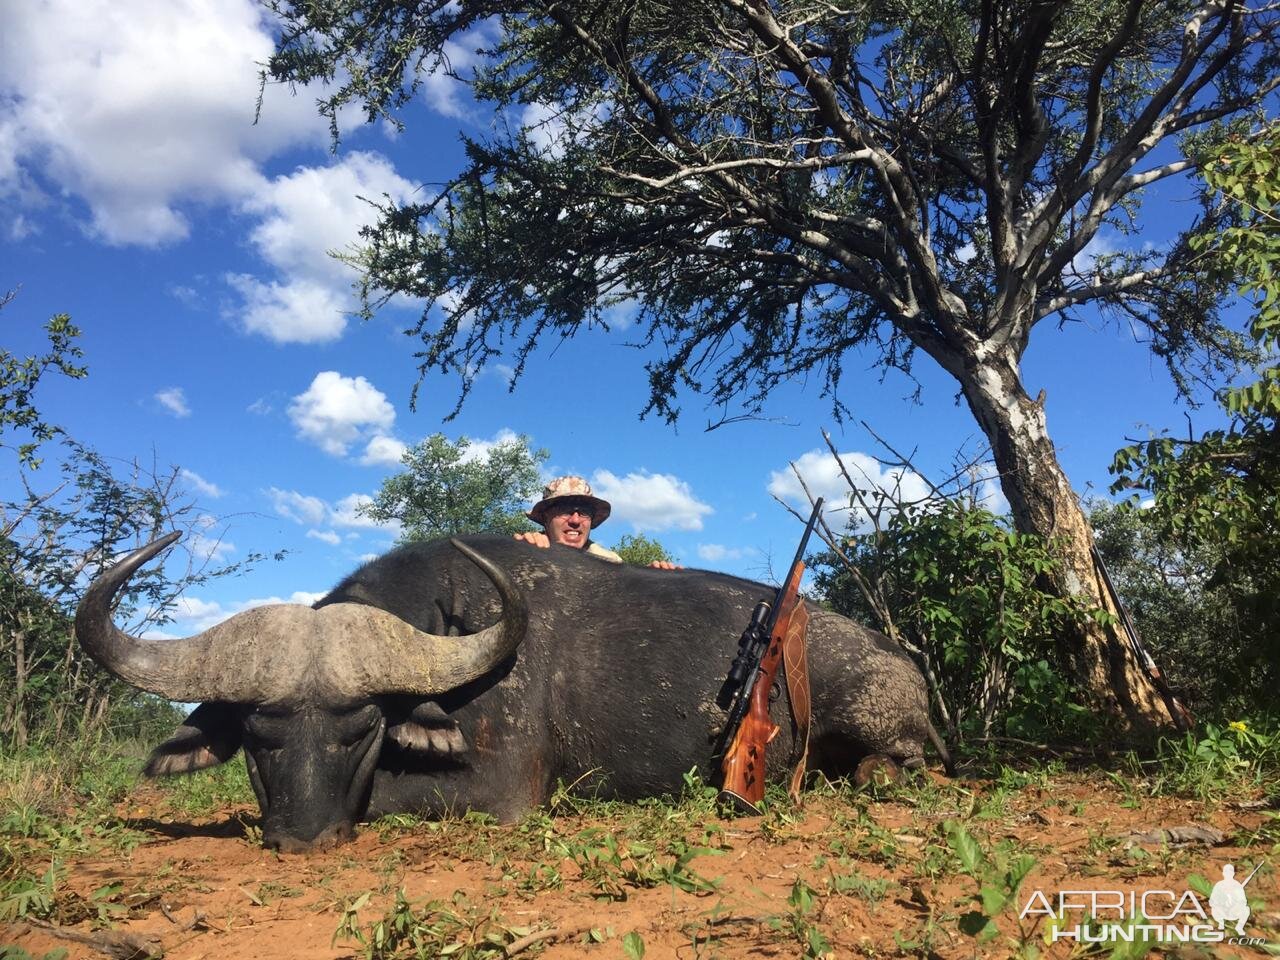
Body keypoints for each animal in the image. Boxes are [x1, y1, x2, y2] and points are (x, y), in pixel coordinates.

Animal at [74, 535, 947, 855]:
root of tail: (898, 659)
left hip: (872, 713)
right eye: (257, 737)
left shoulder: (500, 792)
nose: (303, 839)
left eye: (361, 730)